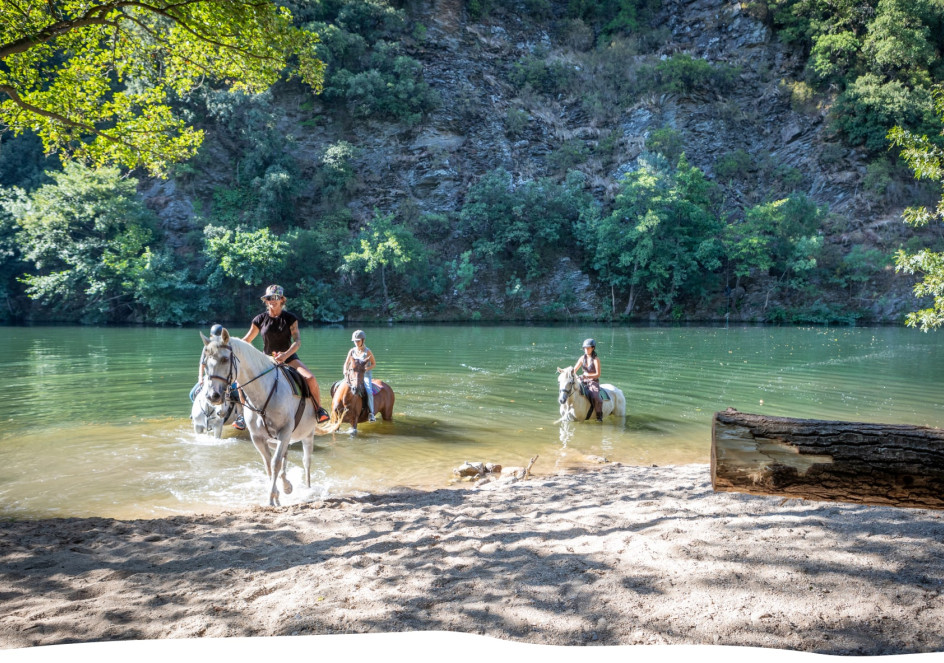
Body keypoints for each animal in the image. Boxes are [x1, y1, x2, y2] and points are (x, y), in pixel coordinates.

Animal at [200, 328, 324, 508]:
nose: (212, 396)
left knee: (306, 462)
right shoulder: (258, 438)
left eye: (224, 359)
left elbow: (275, 463)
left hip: (307, 435)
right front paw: (277, 496)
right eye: (205, 362)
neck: (264, 392)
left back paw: (306, 489)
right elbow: (269, 465)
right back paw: (286, 485)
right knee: (285, 455)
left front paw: (272, 498)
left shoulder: (285, 432)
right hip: (275, 440)